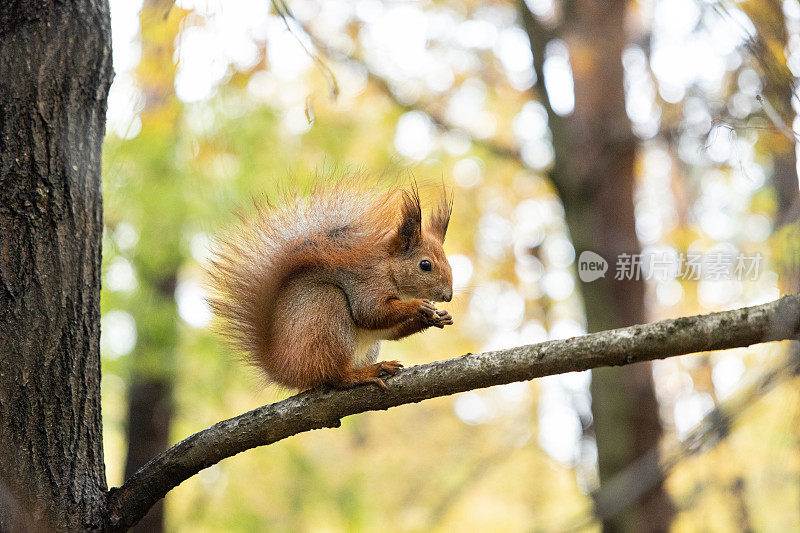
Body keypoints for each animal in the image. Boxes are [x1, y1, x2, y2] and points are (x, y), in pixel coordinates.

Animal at [206, 180, 454, 390]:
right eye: (425, 265)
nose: (448, 296)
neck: (389, 269)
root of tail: (284, 367)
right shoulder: (367, 282)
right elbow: (370, 313)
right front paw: (418, 306)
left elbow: (389, 330)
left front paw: (438, 317)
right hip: (327, 314)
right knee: (335, 376)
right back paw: (367, 373)